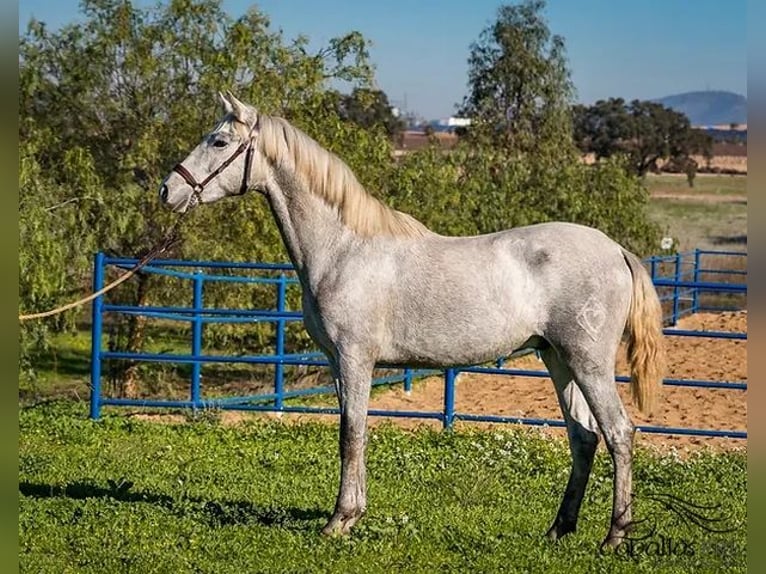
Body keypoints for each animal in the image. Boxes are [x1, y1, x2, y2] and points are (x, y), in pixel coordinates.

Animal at [160, 91, 664, 548]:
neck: (343, 248)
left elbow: (351, 432)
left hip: (588, 363)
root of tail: (616, 250)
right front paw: (354, 514)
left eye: (220, 141)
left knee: (619, 433)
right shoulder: (339, 363)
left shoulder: (355, 358)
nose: (169, 189)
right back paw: (559, 529)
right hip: (558, 360)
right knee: (583, 438)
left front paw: (339, 520)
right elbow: (354, 430)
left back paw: (614, 536)